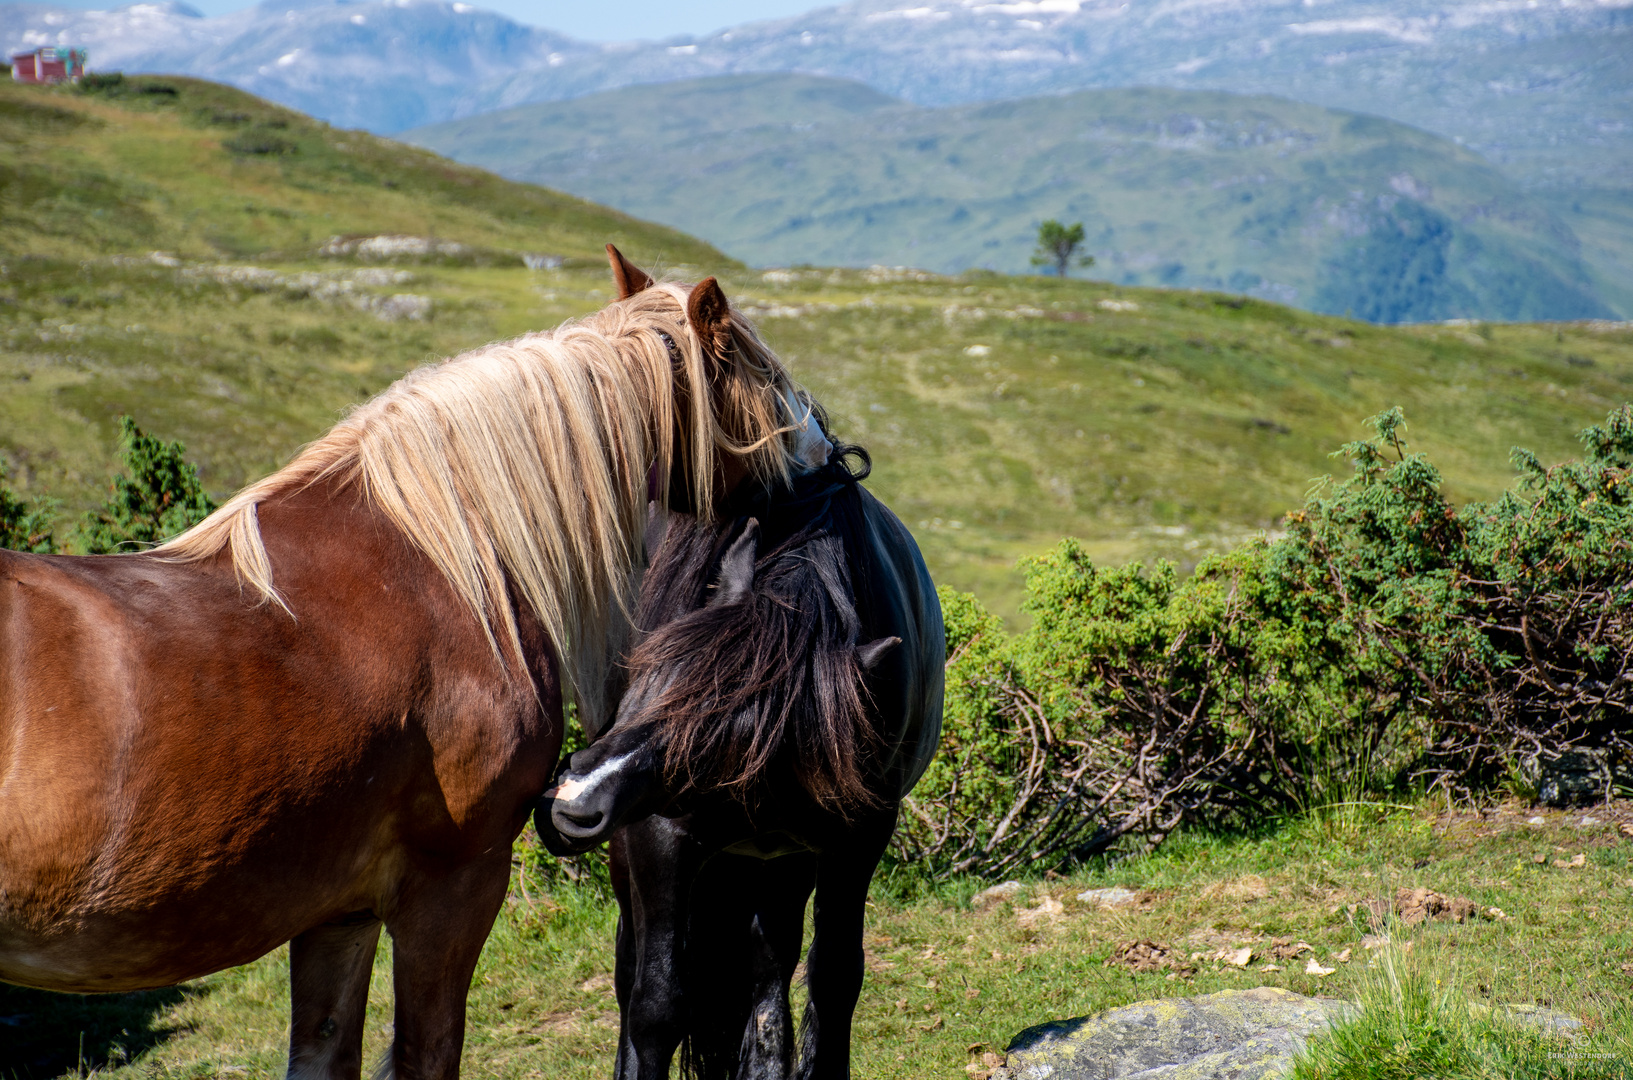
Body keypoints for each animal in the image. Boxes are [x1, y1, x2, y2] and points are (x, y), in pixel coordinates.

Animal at [0, 246, 816, 1078]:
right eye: (761, 371)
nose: (822, 458)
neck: (438, 564)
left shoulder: (340, 914)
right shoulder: (453, 885)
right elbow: (428, 1051)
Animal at [538, 454, 947, 1071]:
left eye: (723, 740)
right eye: (647, 673)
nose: (577, 801)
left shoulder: (859, 837)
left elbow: (832, 978)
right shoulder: (658, 834)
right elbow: (656, 1004)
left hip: (780, 859)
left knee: (768, 968)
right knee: (632, 968)